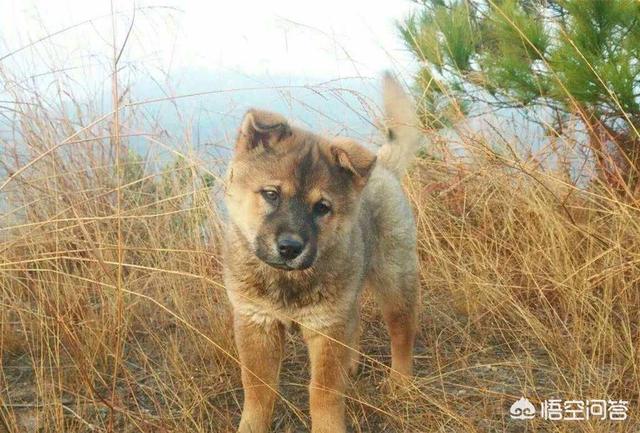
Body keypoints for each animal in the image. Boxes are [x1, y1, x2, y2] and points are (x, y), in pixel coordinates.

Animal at [224, 74, 420, 432]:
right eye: (271, 194)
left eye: (322, 208)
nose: (290, 248)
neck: (287, 281)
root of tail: (383, 168)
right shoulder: (256, 323)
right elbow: (258, 391)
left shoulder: (325, 328)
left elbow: (323, 393)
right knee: (355, 322)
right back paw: (353, 365)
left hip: (394, 279)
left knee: (402, 331)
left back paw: (401, 382)